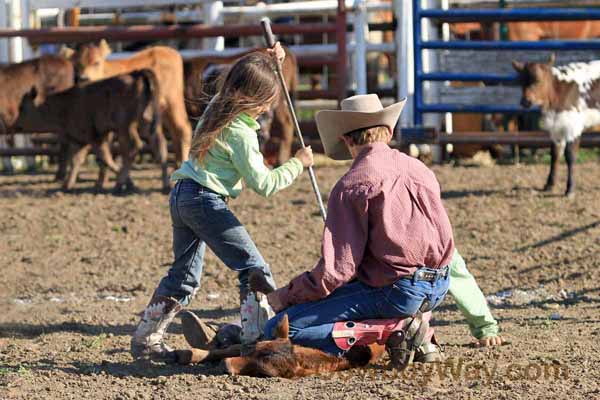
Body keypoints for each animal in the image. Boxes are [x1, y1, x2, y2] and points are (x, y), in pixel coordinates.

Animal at [15, 69, 169, 192]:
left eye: (22, 107)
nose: (16, 125)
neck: (66, 104)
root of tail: (137, 73)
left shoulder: (94, 137)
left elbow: (105, 159)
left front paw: (128, 182)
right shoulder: (82, 140)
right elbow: (79, 160)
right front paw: (68, 185)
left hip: (125, 127)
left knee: (133, 148)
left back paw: (119, 184)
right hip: (147, 124)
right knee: (160, 147)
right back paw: (165, 184)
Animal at [70, 41, 192, 169]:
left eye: (96, 62)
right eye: (76, 65)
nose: (83, 78)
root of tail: (172, 52)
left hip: (173, 102)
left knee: (183, 129)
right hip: (162, 110)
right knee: (172, 133)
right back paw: (177, 163)